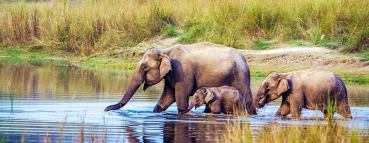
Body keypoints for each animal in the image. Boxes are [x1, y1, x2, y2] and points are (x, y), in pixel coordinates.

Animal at [102, 42, 254, 114]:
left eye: (144, 67)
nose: (106, 109)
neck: (166, 51)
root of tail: (244, 58)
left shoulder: (183, 73)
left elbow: (180, 99)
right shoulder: (171, 75)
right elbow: (166, 99)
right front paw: (155, 112)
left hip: (241, 75)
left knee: (247, 99)